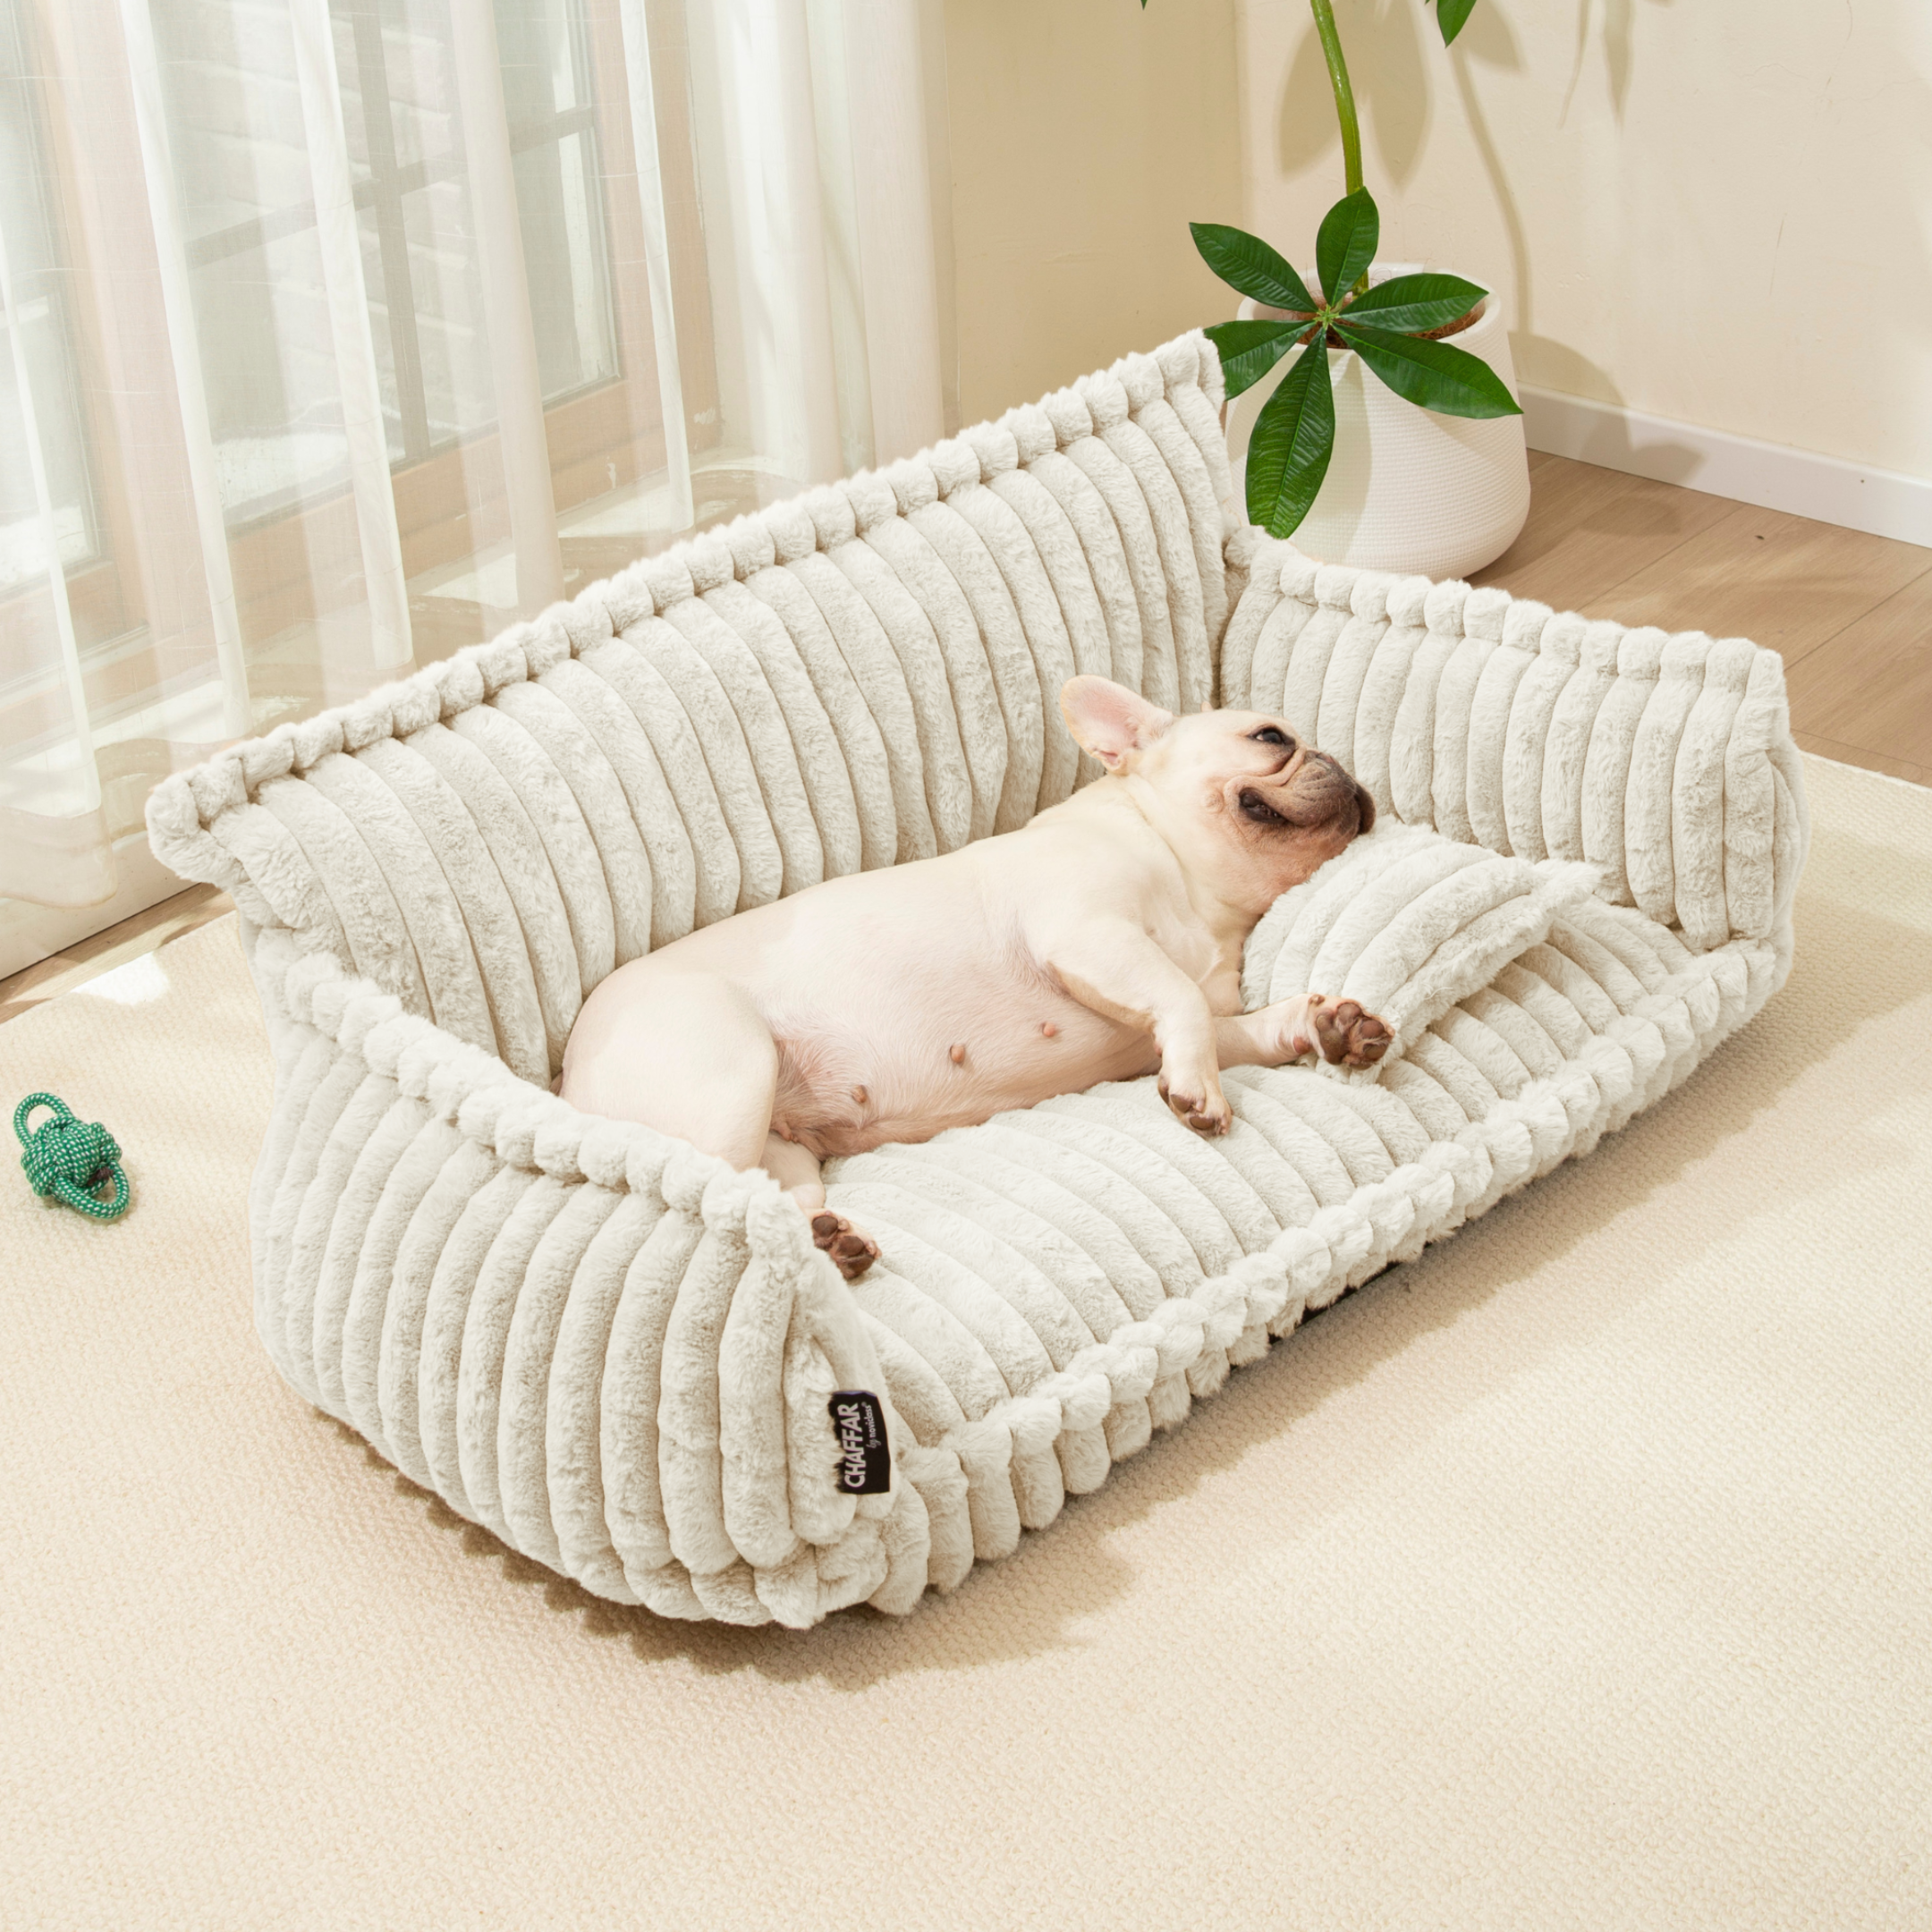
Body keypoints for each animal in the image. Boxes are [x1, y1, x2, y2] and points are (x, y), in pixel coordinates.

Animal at [561, 676, 1391, 1280]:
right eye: (1271, 738)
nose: (1345, 766)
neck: (1199, 891)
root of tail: (569, 1078)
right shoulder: (1088, 934)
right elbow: (1180, 998)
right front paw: (1200, 1094)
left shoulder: (1182, 1012)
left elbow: (1229, 1029)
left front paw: (1320, 1023)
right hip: (730, 1077)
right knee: (712, 1194)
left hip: (781, 1144)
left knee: (773, 1196)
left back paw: (829, 1241)